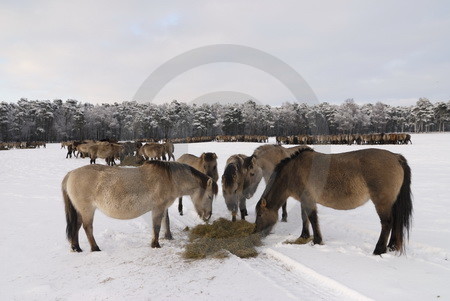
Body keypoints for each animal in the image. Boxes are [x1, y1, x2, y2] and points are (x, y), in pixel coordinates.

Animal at [253, 147, 412, 253]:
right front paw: (304, 236)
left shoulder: (308, 200)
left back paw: (379, 250)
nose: (255, 233)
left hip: (382, 203)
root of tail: (396, 157)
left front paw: (317, 241)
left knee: (387, 223)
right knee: (396, 222)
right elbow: (305, 217)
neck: (293, 171)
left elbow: (312, 219)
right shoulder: (304, 200)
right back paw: (391, 246)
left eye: (260, 215)